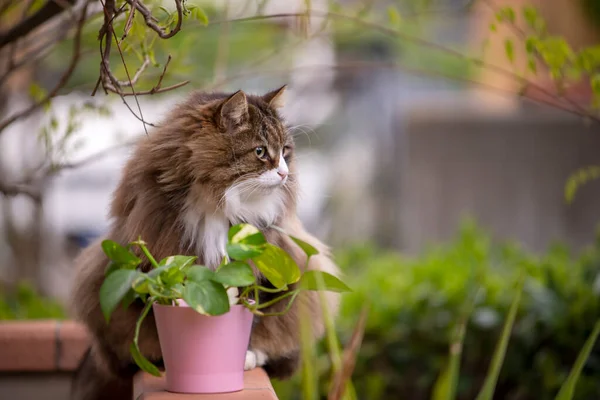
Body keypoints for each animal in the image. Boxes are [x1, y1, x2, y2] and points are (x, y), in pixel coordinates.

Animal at [68, 86, 340, 398]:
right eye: (260, 152)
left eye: (285, 152)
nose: (284, 173)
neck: (218, 203)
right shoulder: (158, 259)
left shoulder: (263, 268)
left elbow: (253, 317)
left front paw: (244, 356)